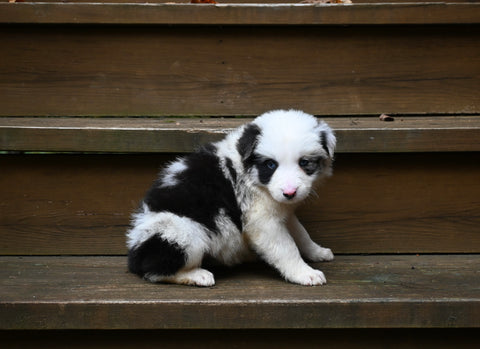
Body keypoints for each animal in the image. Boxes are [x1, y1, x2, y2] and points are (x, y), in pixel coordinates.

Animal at [127, 109, 338, 286]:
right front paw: (304, 273)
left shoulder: (282, 211)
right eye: (270, 165)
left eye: (304, 163)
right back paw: (197, 275)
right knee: (154, 270)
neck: (253, 177)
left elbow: (300, 233)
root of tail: (134, 255)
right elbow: (286, 247)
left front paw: (317, 251)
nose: (290, 193)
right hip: (181, 230)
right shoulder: (262, 222)